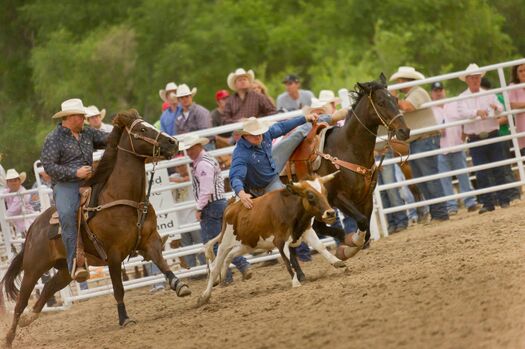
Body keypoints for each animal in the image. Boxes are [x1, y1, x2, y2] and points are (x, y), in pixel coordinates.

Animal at [1, 110, 190, 346]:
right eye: (142, 129)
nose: (173, 142)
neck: (125, 198)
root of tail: (33, 228)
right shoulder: (114, 254)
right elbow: (118, 289)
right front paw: (124, 319)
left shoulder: (150, 240)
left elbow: (163, 263)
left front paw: (179, 285)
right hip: (33, 269)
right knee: (20, 302)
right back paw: (9, 337)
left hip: (65, 270)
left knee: (47, 288)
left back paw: (30, 318)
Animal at [290, 72, 410, 278]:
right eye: (380, 102)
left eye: (395, 99)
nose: (404, 131)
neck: (347, 149)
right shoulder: (337, 198)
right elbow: (360, 222)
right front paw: (350, 245)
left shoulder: (366, 197)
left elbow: (366, 228)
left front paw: (348, 248)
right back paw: (299, 274)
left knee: (312, 230)